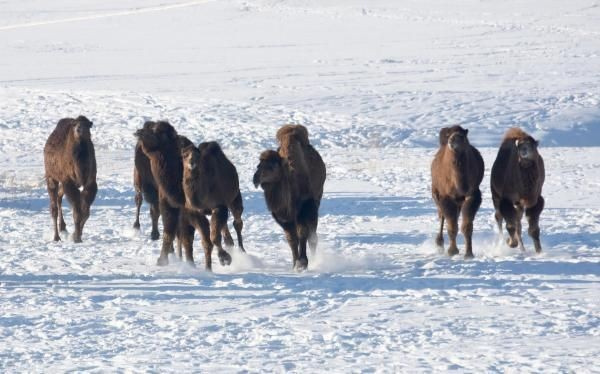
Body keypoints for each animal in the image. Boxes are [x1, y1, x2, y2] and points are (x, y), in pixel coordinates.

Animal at [44, 115, 97, 243]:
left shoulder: (91, 182)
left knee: (59, 196)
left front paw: (76, 235)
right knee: (53, 207)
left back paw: (63, 228)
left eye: (87, 125)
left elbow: (85, 212)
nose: (79, 129)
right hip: (51, 176)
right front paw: (76, 237)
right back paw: (56, 237)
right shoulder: (68, 181)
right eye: (75, 124)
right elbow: (77, 212)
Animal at [253, 124, 328, 270]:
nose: (255, 179)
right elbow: (292, 239)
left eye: (271, 166)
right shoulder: (284, 219)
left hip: (316, 202)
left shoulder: (304, 209)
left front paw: (302, 263)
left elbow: (303, 234)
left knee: (312, 236)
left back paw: (314, 260)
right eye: (258, 165)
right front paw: (295, 264)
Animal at [428, 125, 486, 258]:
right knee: (442, 216)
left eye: (462, 136)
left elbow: (467, 226)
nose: (453, 140)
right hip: (436, 194)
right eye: (450, 135)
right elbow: (452, 225)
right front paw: (452, 251)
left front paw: (469, 253)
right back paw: (439, 243)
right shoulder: (445, 196)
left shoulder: (472, 194)